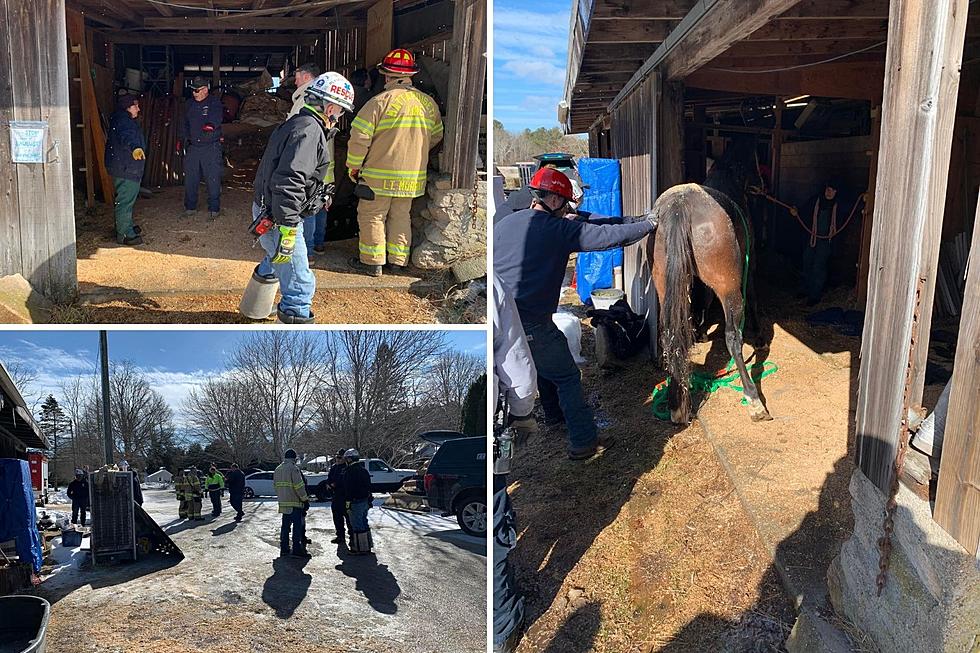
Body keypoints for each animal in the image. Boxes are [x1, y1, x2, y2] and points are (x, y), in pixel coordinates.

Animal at [652, 139, 772, 422]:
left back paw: (677, 404)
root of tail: (679, 206)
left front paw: (702, 332)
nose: (763, 185)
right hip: (729, 290)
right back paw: (754, 400)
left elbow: (702, 301)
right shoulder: (748, 265)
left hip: (665, 289)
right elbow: (753, 297)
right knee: (732, 338)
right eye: (758, 158)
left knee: (670, 333)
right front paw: (759, 336)